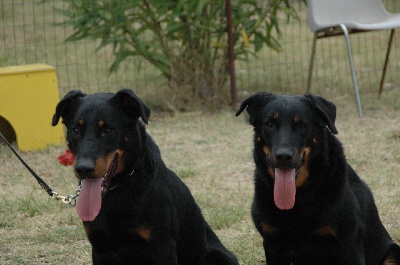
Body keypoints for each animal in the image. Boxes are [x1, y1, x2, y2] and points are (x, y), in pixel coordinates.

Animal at [51, 89, 239, 264]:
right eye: (76, 129)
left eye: (107, 129)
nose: (83, 168)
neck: (119, 189)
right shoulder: (99, 248)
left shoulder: (163, 246)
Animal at [236, 92, 398, 262]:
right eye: (269, 124)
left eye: (302, 125)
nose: (283, 156)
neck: (299, 196)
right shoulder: (273, 245)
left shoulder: (350, 245)